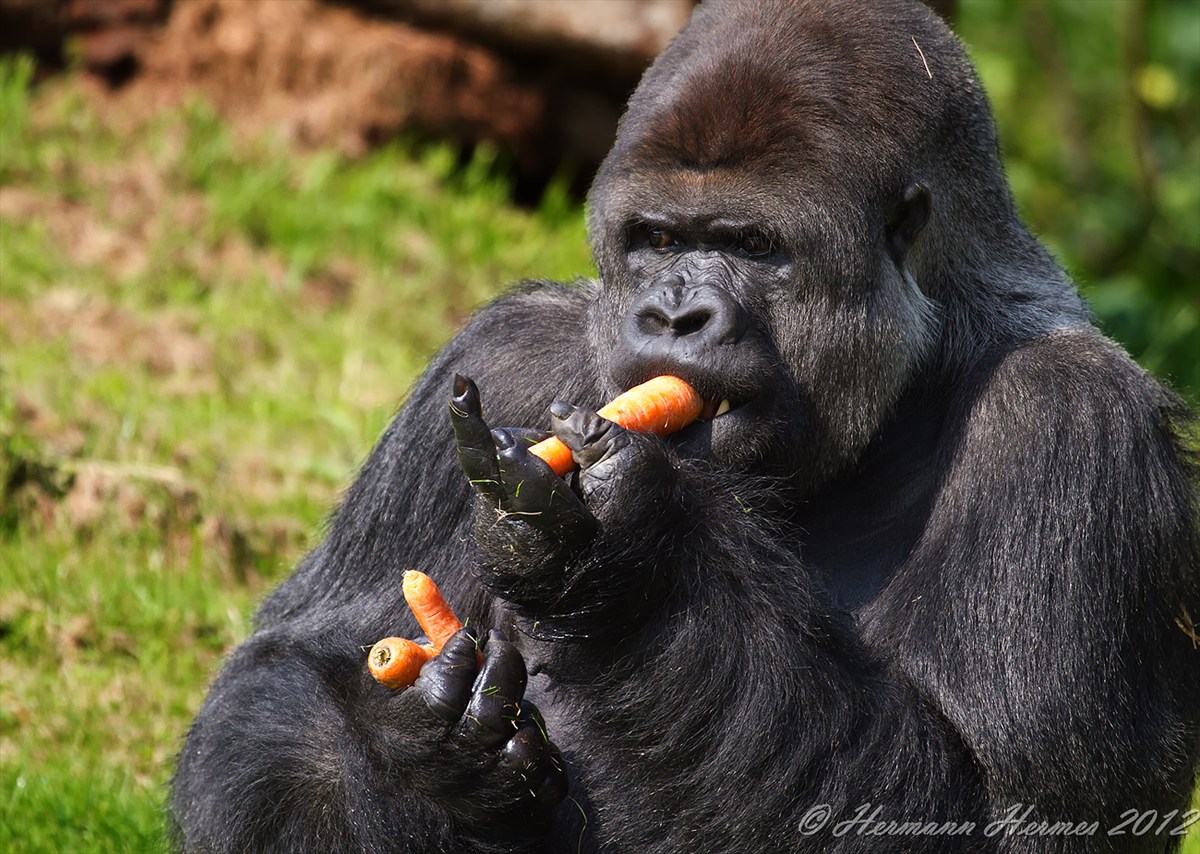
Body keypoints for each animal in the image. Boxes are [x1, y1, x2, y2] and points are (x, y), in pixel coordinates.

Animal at [169, 1, 1200, 854]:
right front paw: (429, 756)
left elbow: (1000, 810)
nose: (675, 316)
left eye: (753, 246)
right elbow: (285, 675)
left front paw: (626, 545)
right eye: (658, 240)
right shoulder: (505, 350)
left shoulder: (1068, 424)